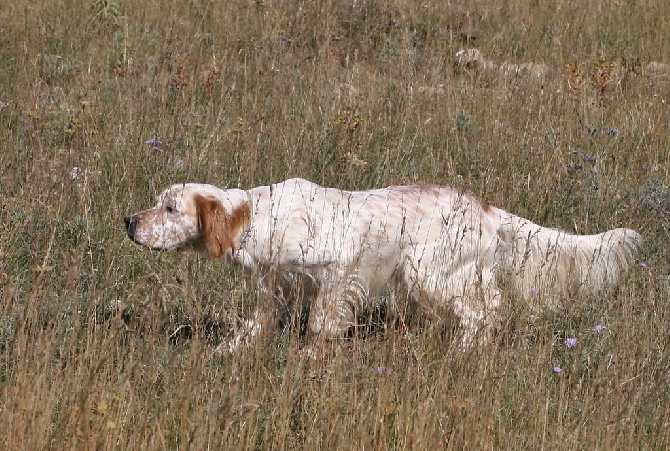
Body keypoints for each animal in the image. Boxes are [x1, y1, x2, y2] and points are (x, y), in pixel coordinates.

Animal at [123, 178, 644, 354]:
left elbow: (321, 323)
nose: (129, 221)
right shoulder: (278, 284)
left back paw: (463, 352)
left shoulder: (339, 271)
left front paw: (311, 357)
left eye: (169, 208)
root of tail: (485, 208)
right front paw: (227, 351)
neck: (257, 216)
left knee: (485, 311)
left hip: (424, 270)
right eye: (156, 203)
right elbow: (254, 325)